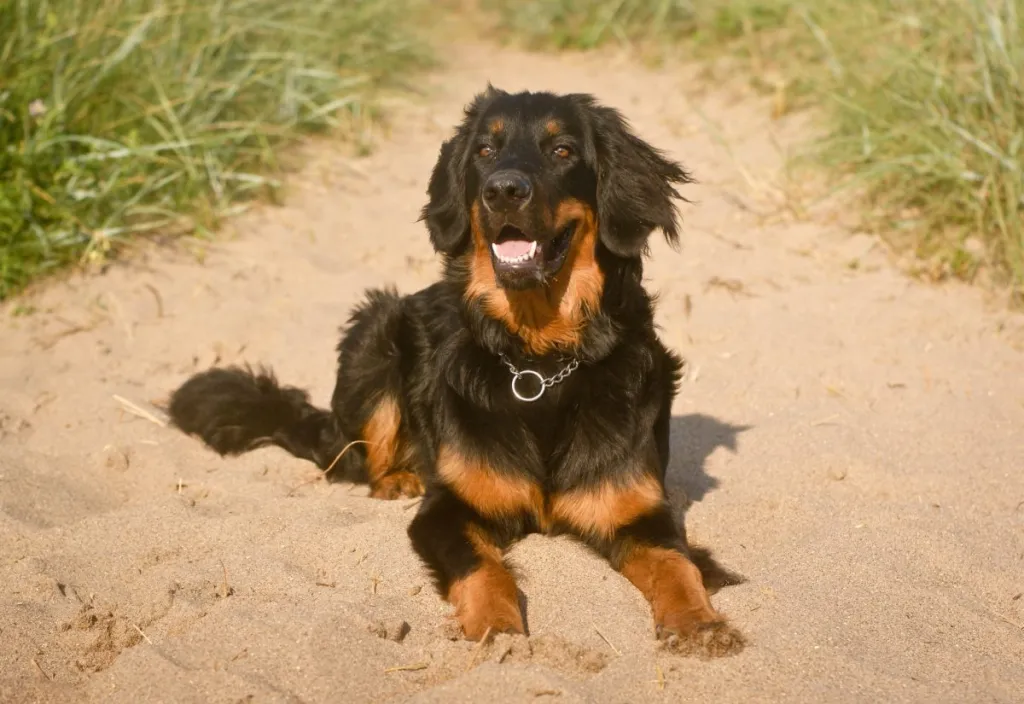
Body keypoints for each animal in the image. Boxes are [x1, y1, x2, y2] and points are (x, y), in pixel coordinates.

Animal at [167, 85, 745, 658]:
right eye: (485, 151)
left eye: (562, 150)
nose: (503, 190)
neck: (538, 360)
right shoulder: (447, 508)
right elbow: (484, 568)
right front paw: (498, 630)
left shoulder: (638, 507)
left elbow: (677, 562)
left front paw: (699, 622)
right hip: (377, 326)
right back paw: (396, 478)